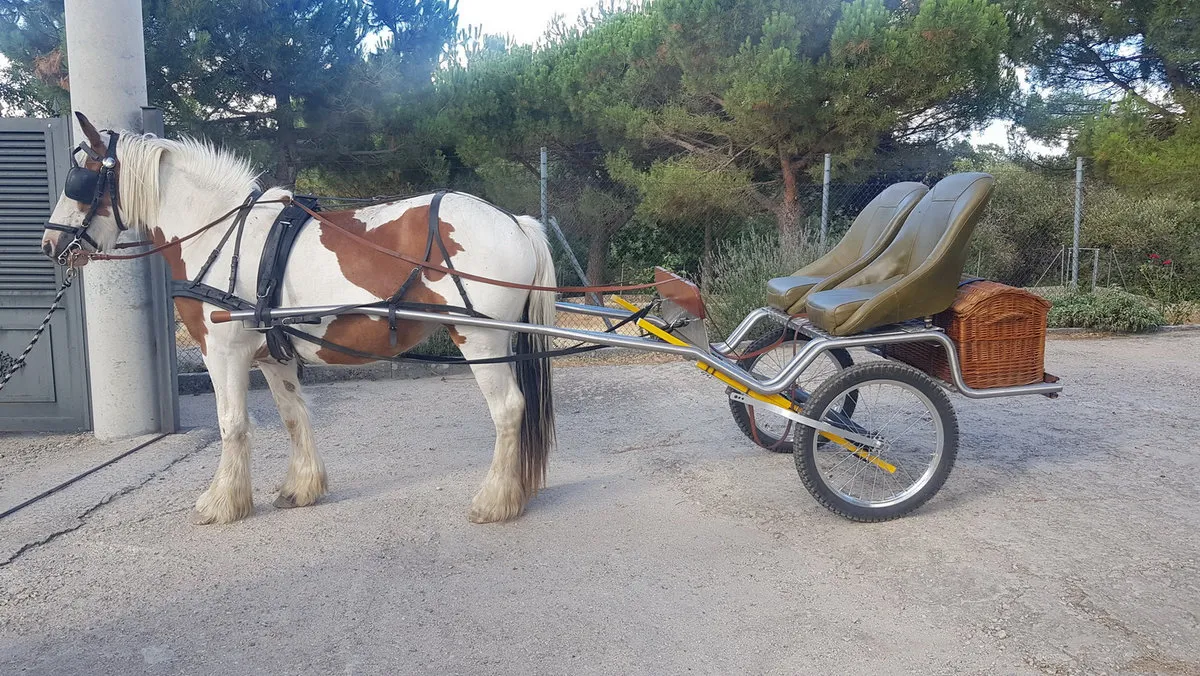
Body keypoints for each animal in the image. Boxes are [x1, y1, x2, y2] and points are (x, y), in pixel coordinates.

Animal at [41, 112, 558, 526]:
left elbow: (232, 423)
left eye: (78, 180)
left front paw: (222, 502)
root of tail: (515, 222)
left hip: (481, 336)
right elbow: (292, 414)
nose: (50, 243)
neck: (222, 233)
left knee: (508, 409)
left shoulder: (223, 350)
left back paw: (494, 501)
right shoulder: (273, 354)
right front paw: (301, 488)